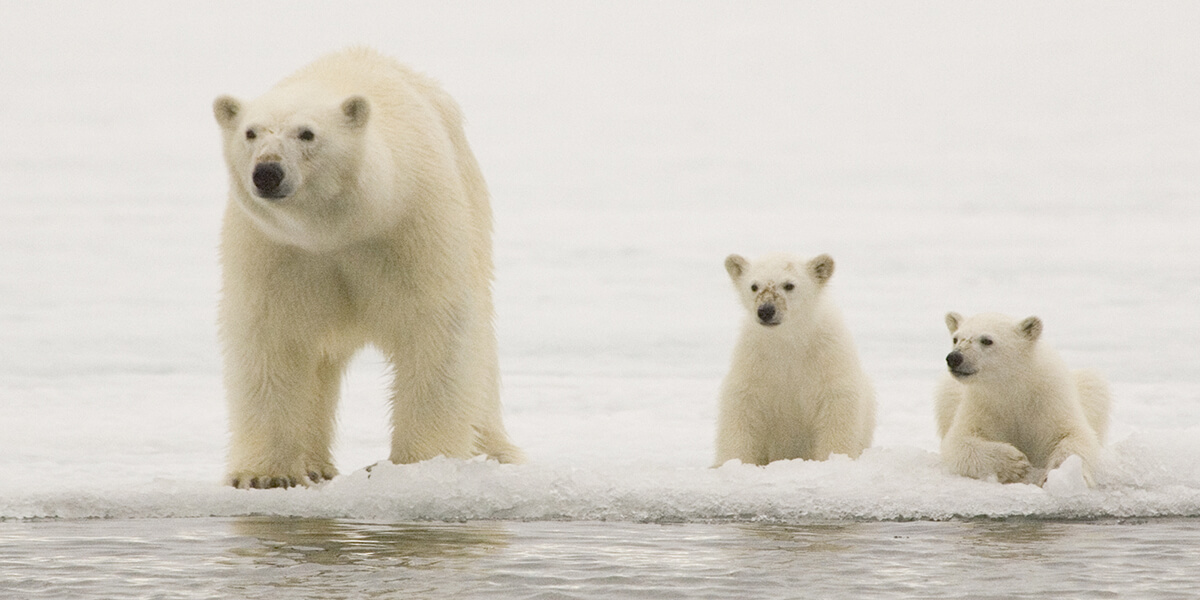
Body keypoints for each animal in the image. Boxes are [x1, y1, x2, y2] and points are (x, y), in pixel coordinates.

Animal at [214, 46, 520, 487]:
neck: (338, 229)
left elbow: (435, 329)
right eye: (251, 132)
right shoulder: (275, 251)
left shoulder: (411, 228)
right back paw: (315, 464)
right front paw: (263, 475)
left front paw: (419, 463)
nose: (267, 172)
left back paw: (493, 452)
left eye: (307, 133)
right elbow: (271, 338)